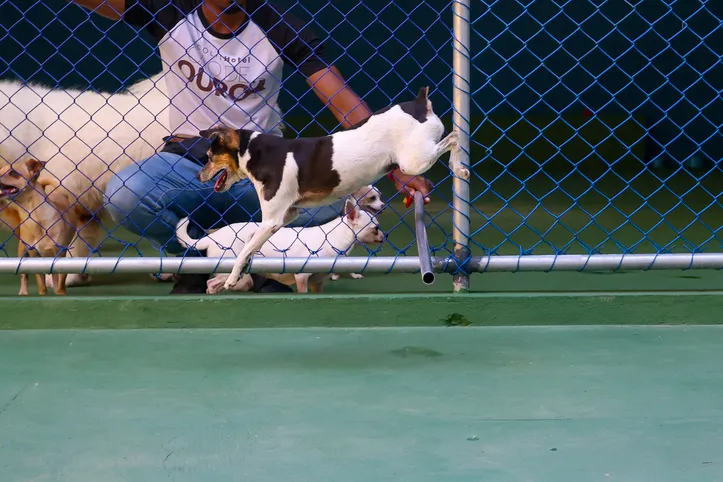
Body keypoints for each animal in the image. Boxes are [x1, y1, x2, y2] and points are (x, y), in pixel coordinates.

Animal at [195, 86, 464, 290]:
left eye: (209, 156)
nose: (199, 175)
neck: (260, 154)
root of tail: (419, 103)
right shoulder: (287, 214)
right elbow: (251, 246)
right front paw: (241, 272)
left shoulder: (272, 220)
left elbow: (245, 250)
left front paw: (232, 277)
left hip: (413, 162)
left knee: (454, 136)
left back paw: (459, 167)